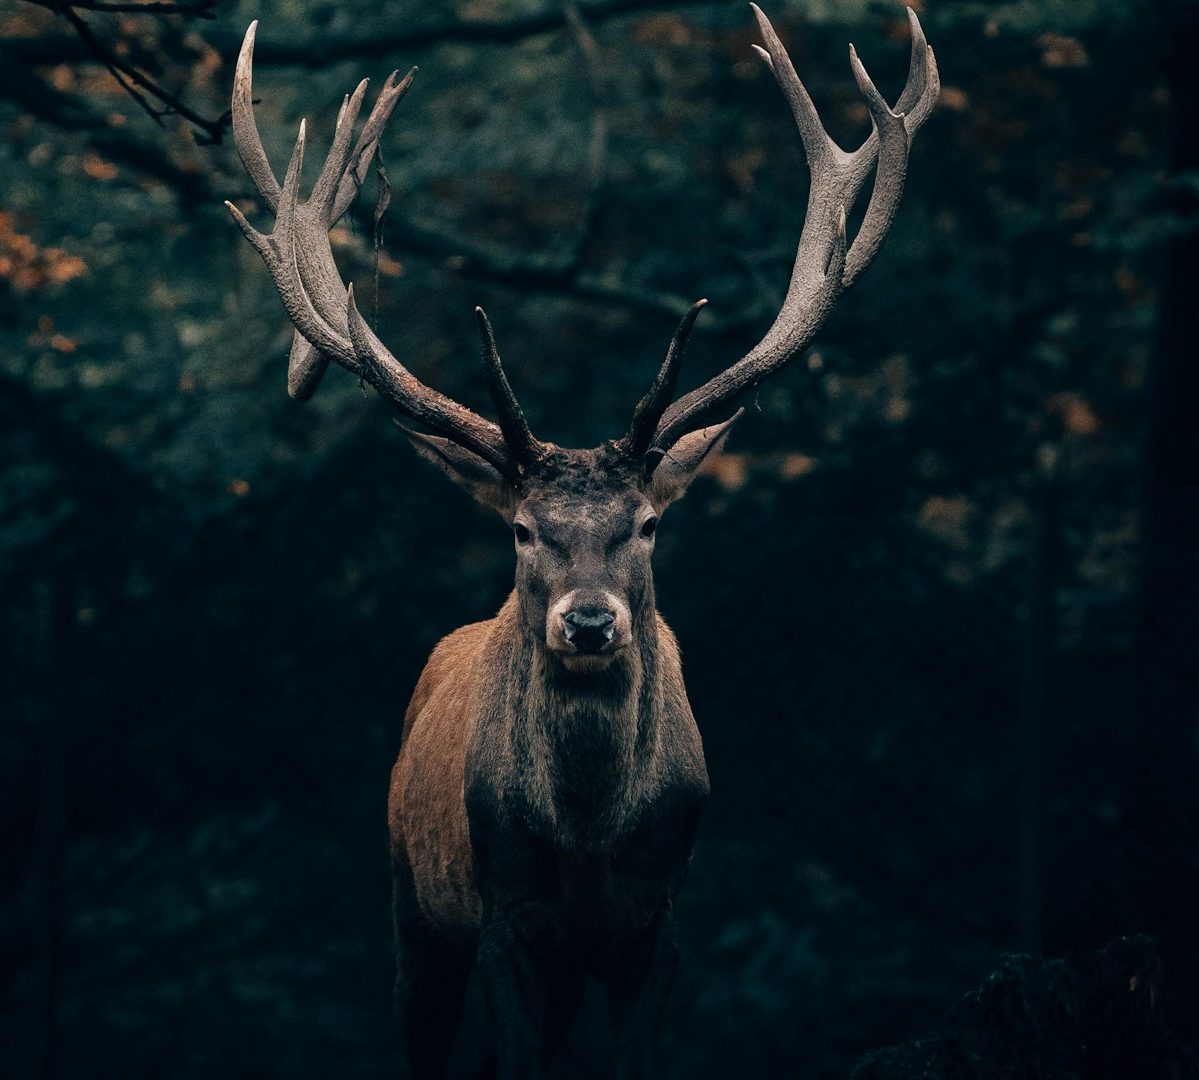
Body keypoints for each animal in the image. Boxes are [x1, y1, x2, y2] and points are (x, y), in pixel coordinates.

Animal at [224, 6, 937, 1078]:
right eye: (522, 529)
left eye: (646, 524)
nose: (590, 624)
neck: (593, 844)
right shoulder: (506, 919)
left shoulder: (659, 926)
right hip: (412, 905)